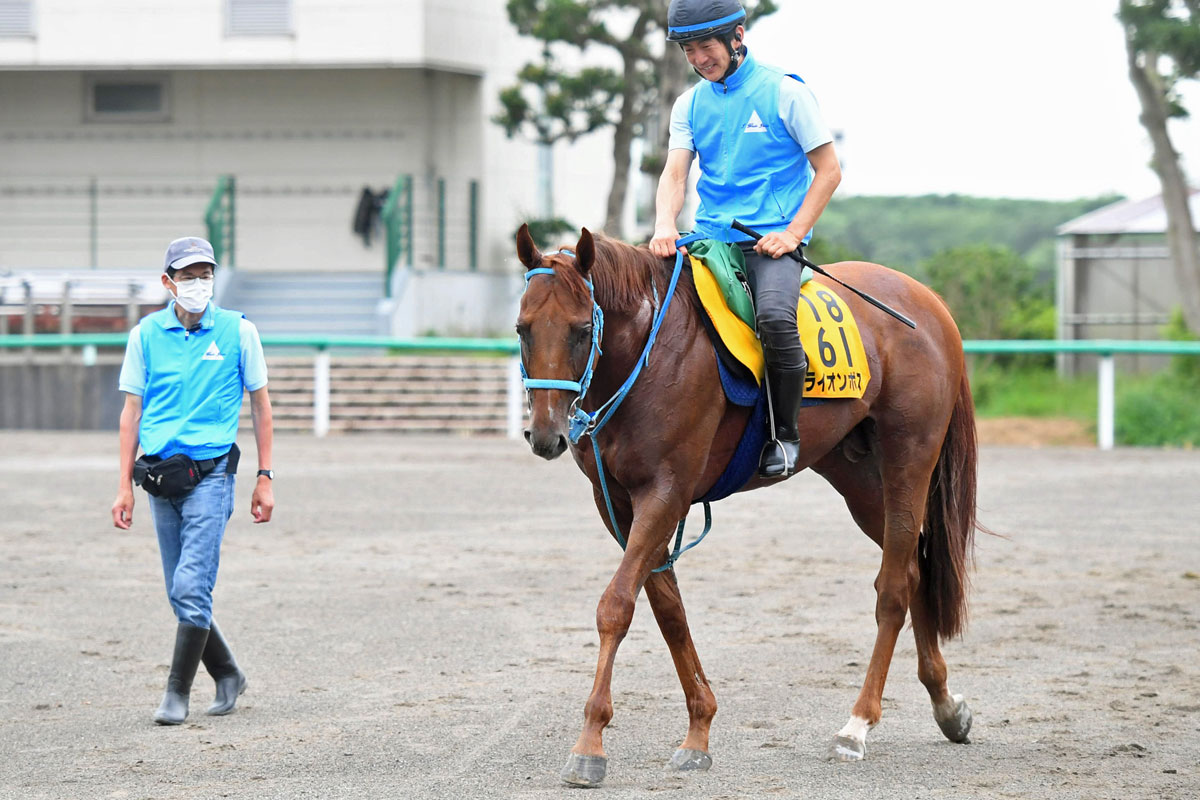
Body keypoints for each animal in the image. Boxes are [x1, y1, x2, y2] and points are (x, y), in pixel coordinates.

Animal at [515, 223, 978, 787]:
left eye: (582, 329)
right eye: (523, 329)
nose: (545, 434)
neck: (650, 350)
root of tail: (929, 304)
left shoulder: (665, 493)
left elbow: (617, 607)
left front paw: (590, 745)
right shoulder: (619, 505)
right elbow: (668, 610)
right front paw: (698, 728)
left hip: (908, 462)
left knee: (892, 589)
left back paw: (857, 725)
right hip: (862, 482)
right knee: (914, 570)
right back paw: (945, 704)